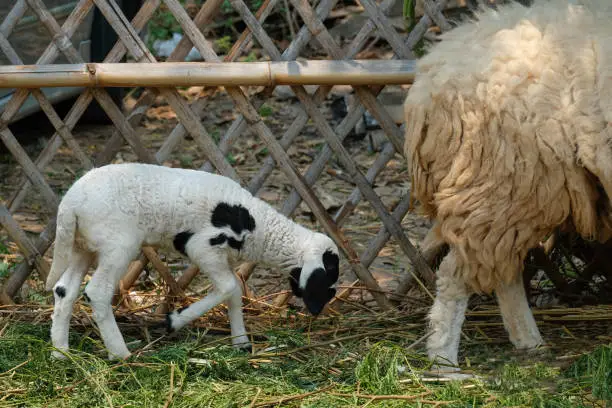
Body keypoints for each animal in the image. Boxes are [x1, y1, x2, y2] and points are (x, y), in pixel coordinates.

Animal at [45, 163, 340, 360]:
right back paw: (120, 354)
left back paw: (61, 352)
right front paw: (174, 320)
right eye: (330, 274)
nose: (320, 307)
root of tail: (70, 204)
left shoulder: (223, 260)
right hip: (117, 246)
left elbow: (234, 292)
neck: (259, 228)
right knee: (97, 292)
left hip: (82, 247)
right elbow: (229, 288)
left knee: (63, 290)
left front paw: (241, 342)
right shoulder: (203, 248)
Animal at [402, 0, 612, 372]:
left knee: (503, 271)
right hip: (503, 183)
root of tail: (430, 76)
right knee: (456, 274)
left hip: (514, 195)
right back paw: (444, 362)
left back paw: (528, 341)